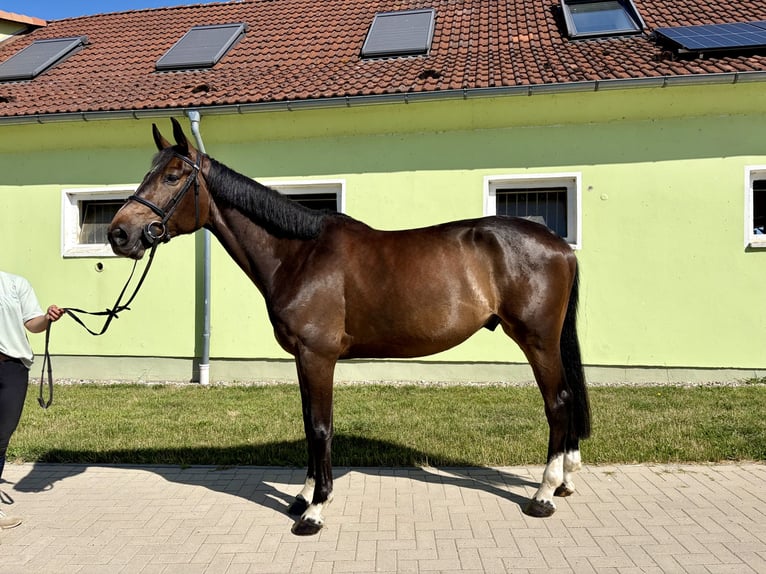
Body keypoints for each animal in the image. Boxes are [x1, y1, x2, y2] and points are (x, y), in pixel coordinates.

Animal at [108, 118, 591, 536]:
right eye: (148, 172)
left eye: (173, 176)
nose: (119, 234)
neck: (299, 254)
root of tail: (559, 246)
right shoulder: (303, 359)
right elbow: (309, 424)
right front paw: (303, 496)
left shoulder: (318, 356)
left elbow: (321, 426)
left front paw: (315, 510)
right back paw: (565, 480)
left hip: (537, 340)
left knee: (558, 402)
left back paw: (544, 495)